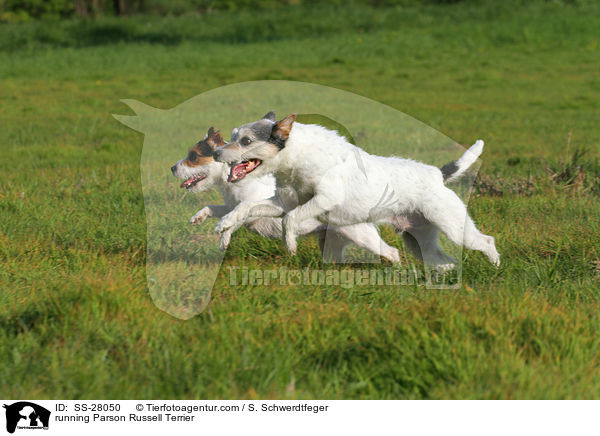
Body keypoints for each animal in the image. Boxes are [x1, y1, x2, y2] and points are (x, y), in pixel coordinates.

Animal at [171, 126, 400, 262]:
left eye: (194, 157)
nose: (173, 167)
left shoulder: (253, 211)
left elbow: (235, 220)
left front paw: (223, 238)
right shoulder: (232, 206)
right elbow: (215, 208)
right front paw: (199, 217)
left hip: (362, 236)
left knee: (392, 252)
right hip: (332, 243)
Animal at [213, 112, 500, 270]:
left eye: (246, 141)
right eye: (233, 136)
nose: (216, 153)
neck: (296, 161)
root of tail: (438, 175)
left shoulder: (324, 199)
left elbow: (289, 221)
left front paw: (290, 245)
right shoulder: (283, 202)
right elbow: (247, 207)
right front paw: (225, 224)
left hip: (455, 227)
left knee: (486, 242)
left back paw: (496, 266)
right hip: (418, 239)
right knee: (443, 260)